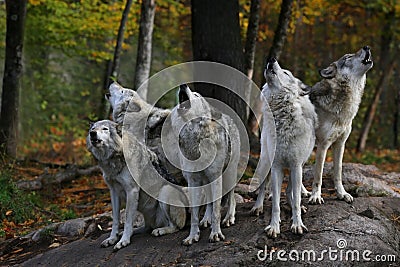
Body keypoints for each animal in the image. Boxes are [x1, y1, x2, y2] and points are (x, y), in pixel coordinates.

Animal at [170, 85, 241, 246]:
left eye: (196, 95)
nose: (183, 85)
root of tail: (229, 117)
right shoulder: (193, 181)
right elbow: (195, 214)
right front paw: (192, 236)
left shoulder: (216, 177)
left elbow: (216, 210)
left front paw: (216, 234)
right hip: (205, 181)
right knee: (209, 201)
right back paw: (205, 219)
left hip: (228, 175)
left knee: (231, 198)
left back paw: (229, 218)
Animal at [260, 58, 318, 239]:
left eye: (286, 73)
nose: (271, 59)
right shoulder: (276, 167)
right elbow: (276, 204)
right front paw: (274, 227)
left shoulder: (295, 165)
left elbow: (297, 200)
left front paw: (297, 224)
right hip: (265, 161)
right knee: (264, 185)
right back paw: (257, 207)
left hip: (298, 167)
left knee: (291, 191)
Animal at [308, 46, 374, 205]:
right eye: (348, 57)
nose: (367, 47)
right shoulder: (323, 145)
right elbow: (318, 175)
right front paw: (316, 196)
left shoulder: (340, 144)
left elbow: (337, 172)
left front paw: (342, 194)